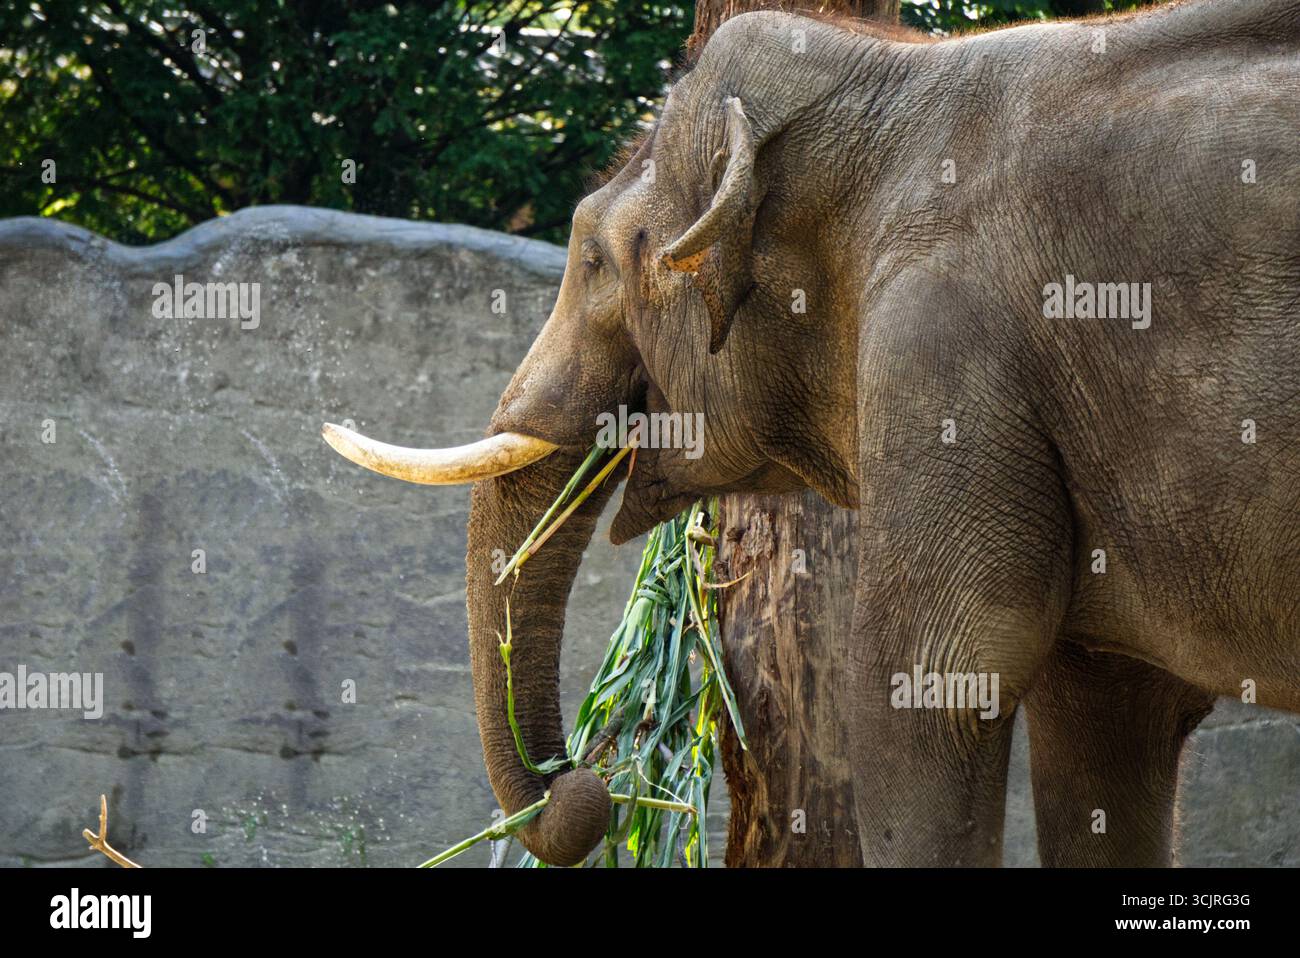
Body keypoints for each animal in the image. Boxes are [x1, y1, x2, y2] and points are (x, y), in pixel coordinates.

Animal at [325, 0, 1300, 867]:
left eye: (596, 259)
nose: (580, 780)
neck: (895, 80)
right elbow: (1106, 718)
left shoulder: (942, 349)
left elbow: (931, 686)